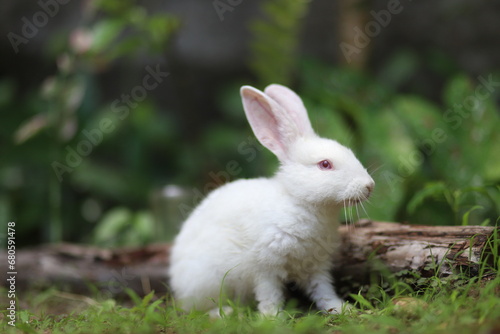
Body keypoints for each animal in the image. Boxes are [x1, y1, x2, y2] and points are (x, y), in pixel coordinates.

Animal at [169, 83, 376, 316]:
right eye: (325, 164)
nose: (369, 185)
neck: (301, 204)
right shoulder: (266, 266)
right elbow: (269, 295)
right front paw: (272, 317)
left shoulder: (315, 265)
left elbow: (323, 290)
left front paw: (341, 308)